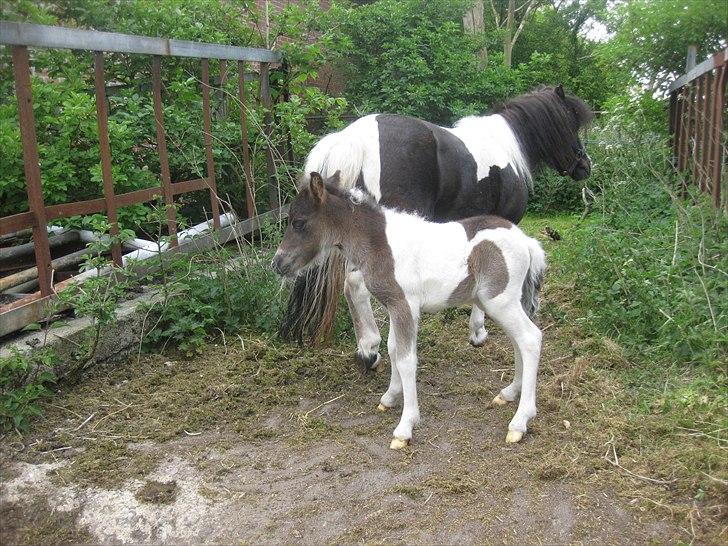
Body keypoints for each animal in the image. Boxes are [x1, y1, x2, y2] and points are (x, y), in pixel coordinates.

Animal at [272, 169, 544, 446]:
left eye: (299, 222)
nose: (277, 263)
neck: (380, 243)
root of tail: (526, 240)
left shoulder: (405, 305)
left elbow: (405, 359)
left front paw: (405, 427)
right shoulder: (393, 306)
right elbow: (393, 349)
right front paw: (390, 397)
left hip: (500, 301)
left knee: (530, 338)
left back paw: (520, 421)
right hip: (500, 303)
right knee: (518, 342)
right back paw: (509, 393)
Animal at [282, 85, 596, 368]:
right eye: (571, 122)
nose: (585, 166)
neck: (507, 148)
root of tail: (353, 138)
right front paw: (478, 332)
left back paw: (365, 350)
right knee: (357, 285)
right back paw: (371, 350)